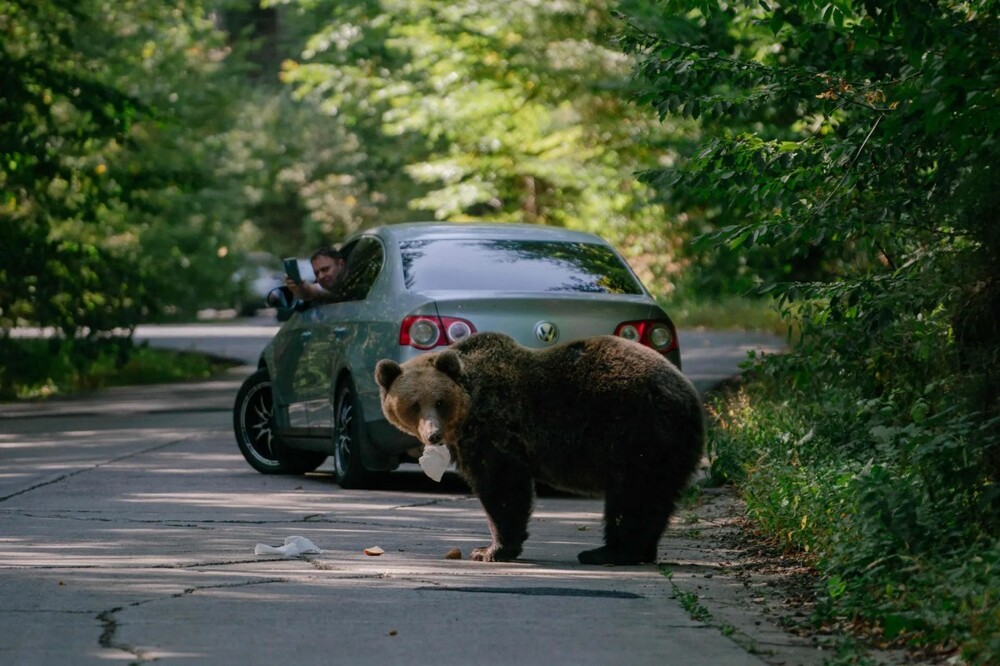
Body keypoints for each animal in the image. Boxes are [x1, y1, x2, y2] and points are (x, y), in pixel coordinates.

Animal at [374, 330, 704, 560]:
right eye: (414, 405)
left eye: (439, 402)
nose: (433, 435)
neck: (468, 412)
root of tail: (689, 395)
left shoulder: (495, 429)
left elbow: (502, 486)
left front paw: (490, 550)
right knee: (652, 496)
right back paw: (638, 551)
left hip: (639, 432)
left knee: (633, 495)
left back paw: (610, 552)